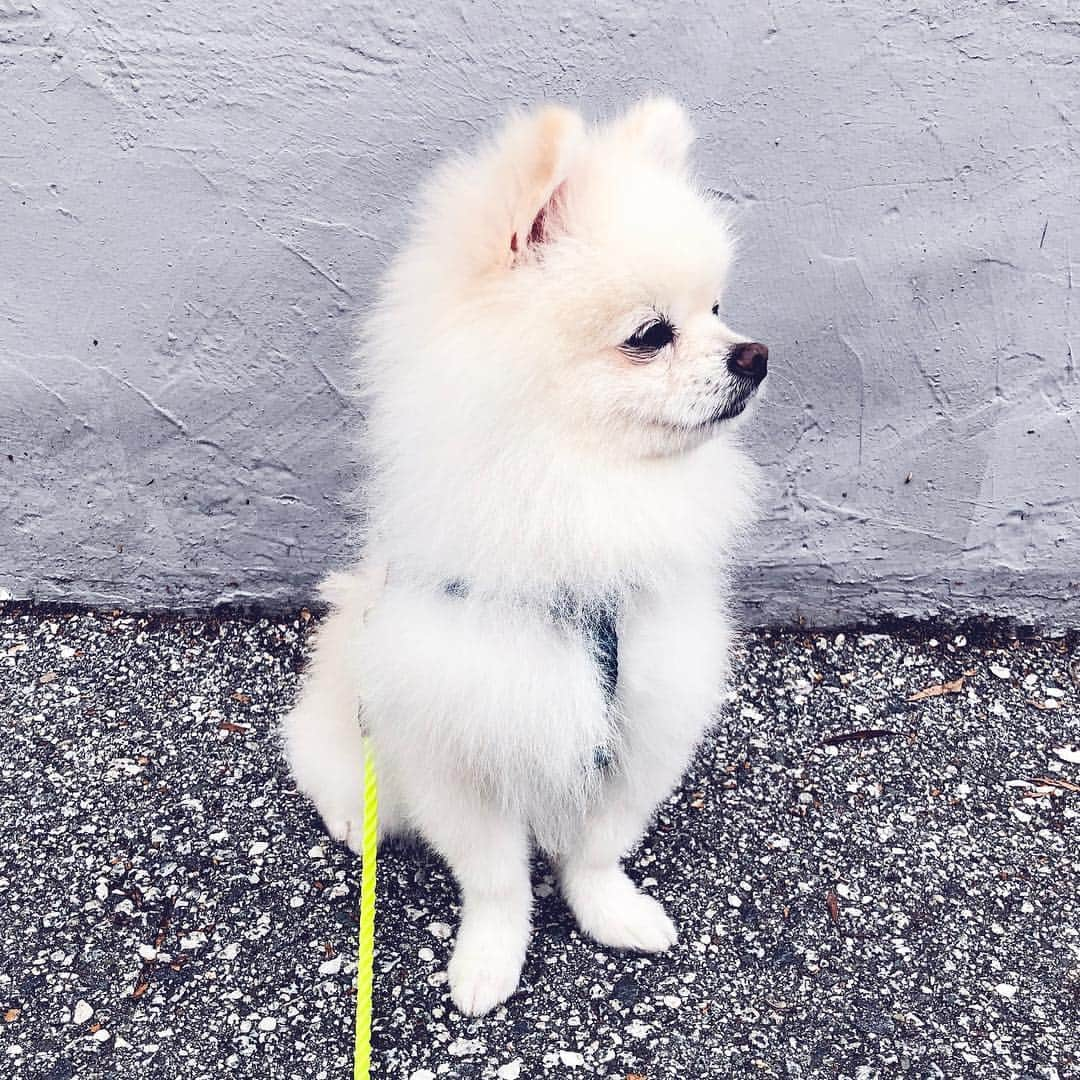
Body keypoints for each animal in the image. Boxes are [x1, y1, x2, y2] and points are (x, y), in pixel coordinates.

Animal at [282, 97, 764, 1015]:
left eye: (720, 306)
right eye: (651, 334)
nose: (756, 354)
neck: (580, 491)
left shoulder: (639, 728)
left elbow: (598, 848)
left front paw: (612, 913)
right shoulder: (459, 752)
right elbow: (498, 882)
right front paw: (488, 961)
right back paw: (356, 820)